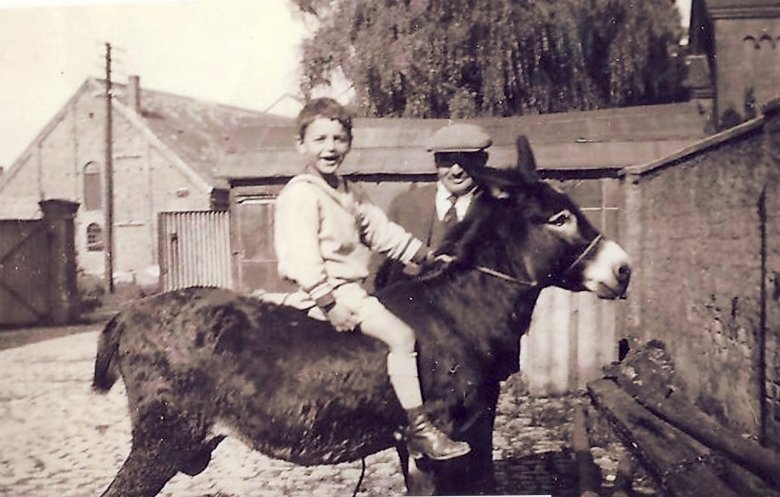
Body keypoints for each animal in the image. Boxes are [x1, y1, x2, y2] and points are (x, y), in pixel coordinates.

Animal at [92, 165, 630, 497]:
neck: (461, 310)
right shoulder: (451, 434)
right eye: (559, 218)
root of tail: (128, 314)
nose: (623, 270)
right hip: (164, 439)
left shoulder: (435, 438)